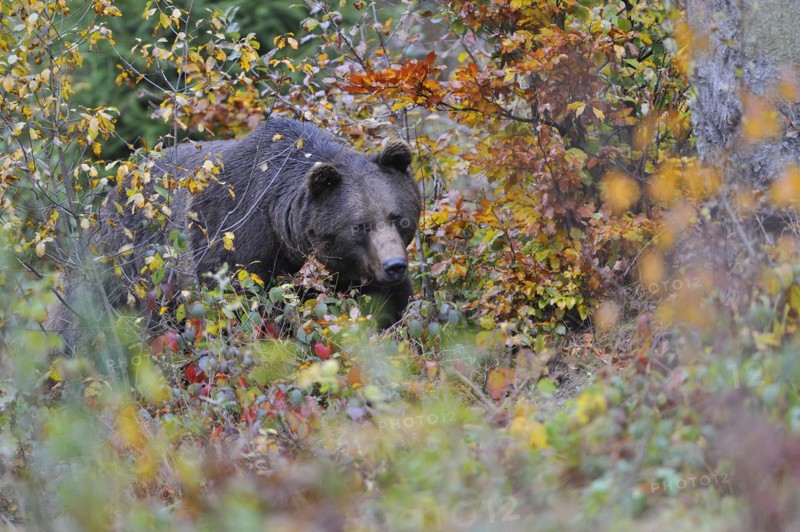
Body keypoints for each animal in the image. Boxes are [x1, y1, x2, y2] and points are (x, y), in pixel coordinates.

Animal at [47, 117, 421, 347]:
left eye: (399, 218)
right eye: (359, 225)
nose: (394, 265)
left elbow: (389, 306)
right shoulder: (234, 233)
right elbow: (236, 307)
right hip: (127, 267)